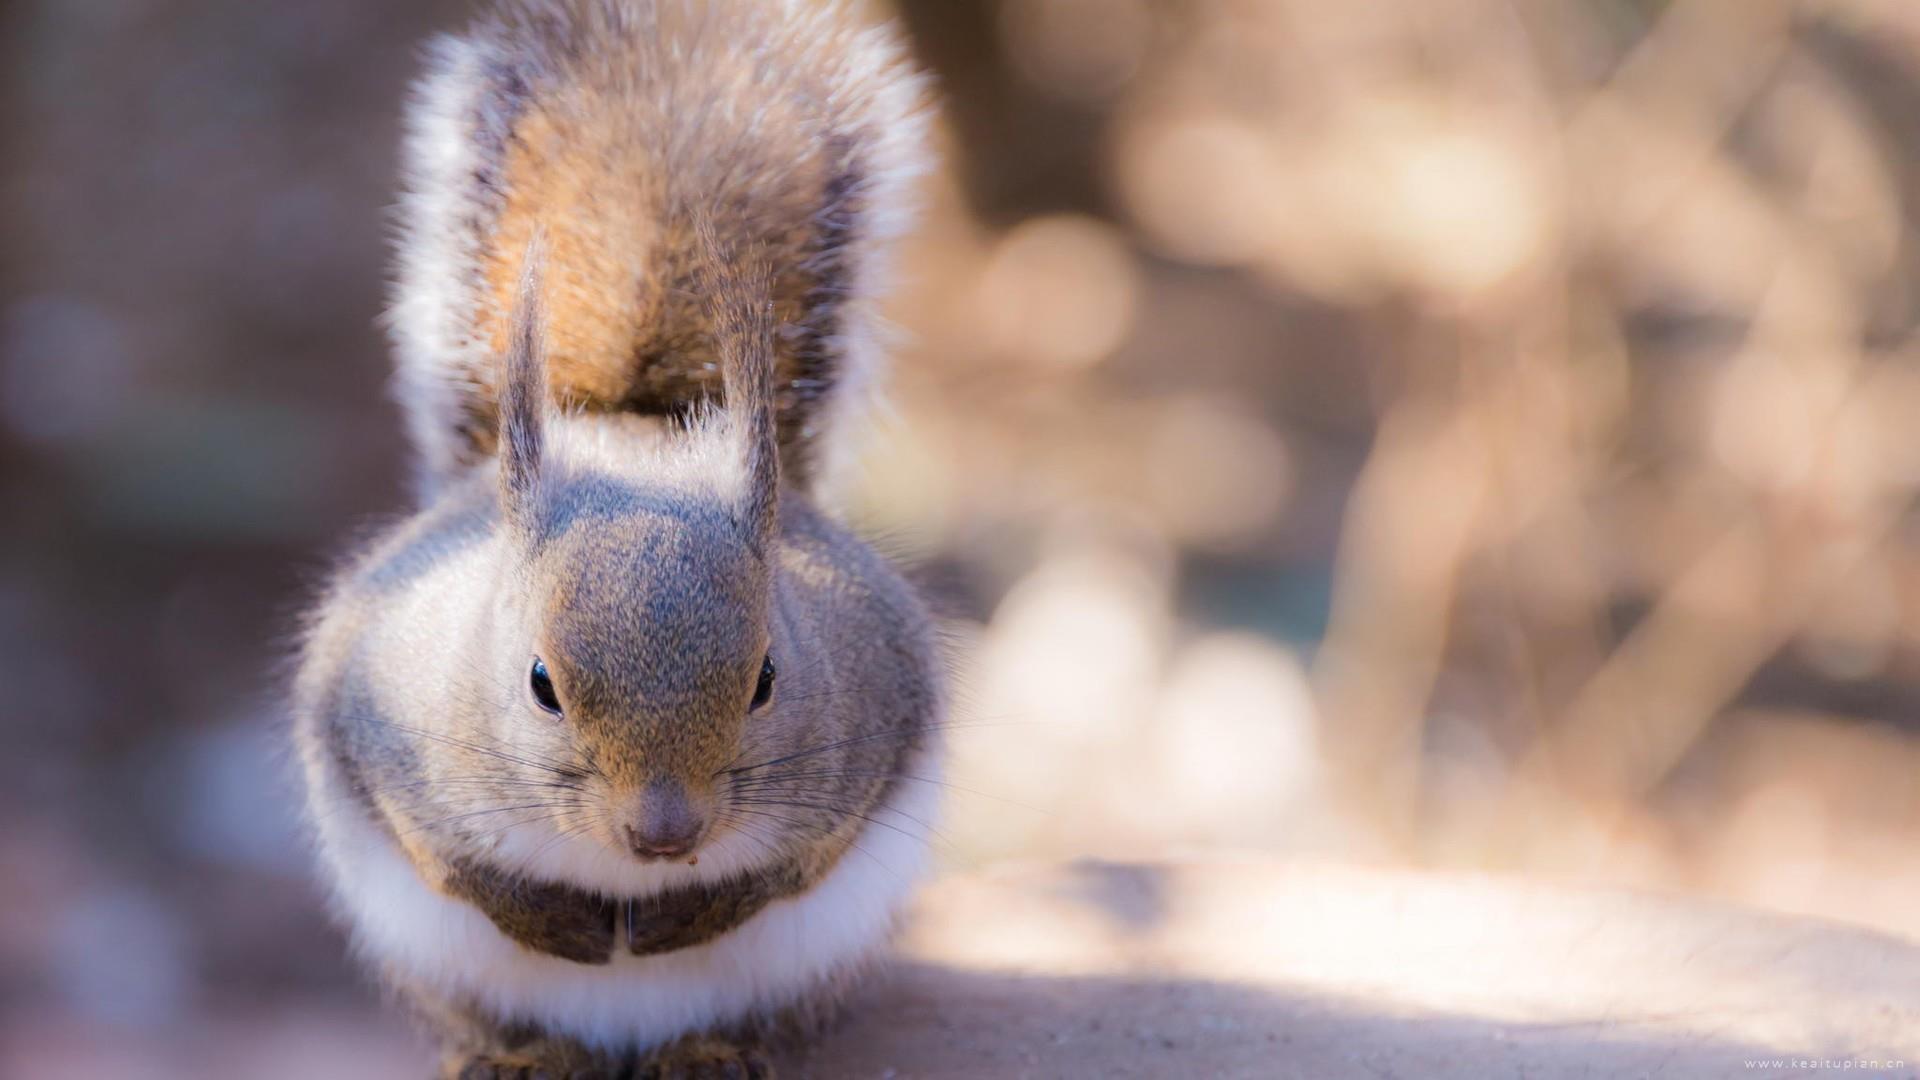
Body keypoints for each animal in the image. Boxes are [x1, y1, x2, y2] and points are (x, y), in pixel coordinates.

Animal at [288, 4, 940, 1068]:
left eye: (767, 679)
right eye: (539, 684)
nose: (666, 838)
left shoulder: (880, 717)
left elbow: (811, 859)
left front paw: (704, 906)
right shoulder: (373, 720)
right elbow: (434, 854)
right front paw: (542, 915)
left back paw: (712, 1054)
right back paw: (519, 1057)